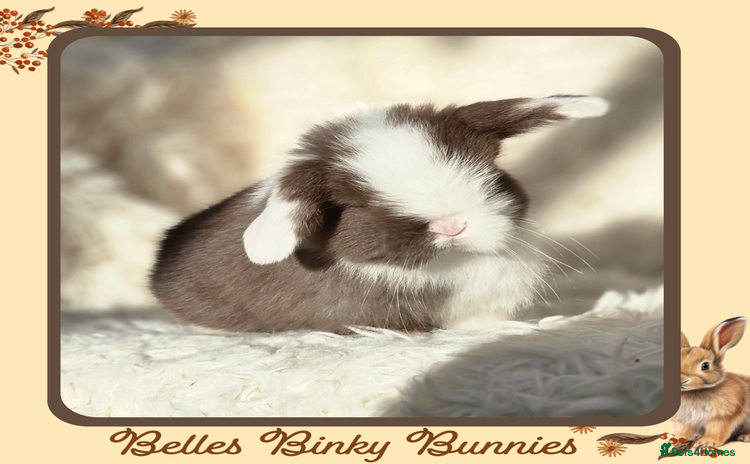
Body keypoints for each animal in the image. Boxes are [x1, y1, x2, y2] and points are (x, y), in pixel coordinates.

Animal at [672, 317, 750, 447]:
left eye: (705, 365)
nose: (681, 381)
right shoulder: (683, 419)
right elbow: (683, 430)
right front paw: (677, 440)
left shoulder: (722, 417)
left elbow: (716, 430)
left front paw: (705, 442)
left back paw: (745, 437)